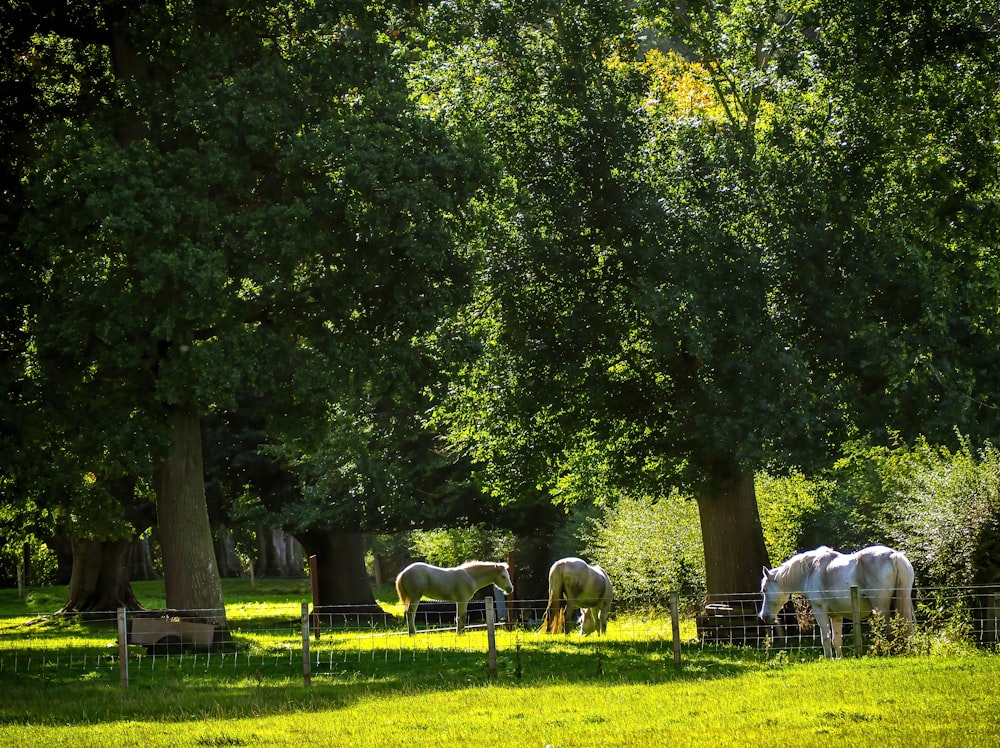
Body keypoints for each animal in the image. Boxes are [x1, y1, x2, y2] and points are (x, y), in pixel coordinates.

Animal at [756, 544, 916, 660]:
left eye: (764, 590)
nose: (764, 616)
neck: (811, 570)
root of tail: (893, 555)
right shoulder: (836, 615)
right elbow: (837, 640)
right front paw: (838, 659)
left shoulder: (820, 611)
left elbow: (825, 638)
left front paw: (828, 660)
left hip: (882, 610)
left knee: (889, 632)